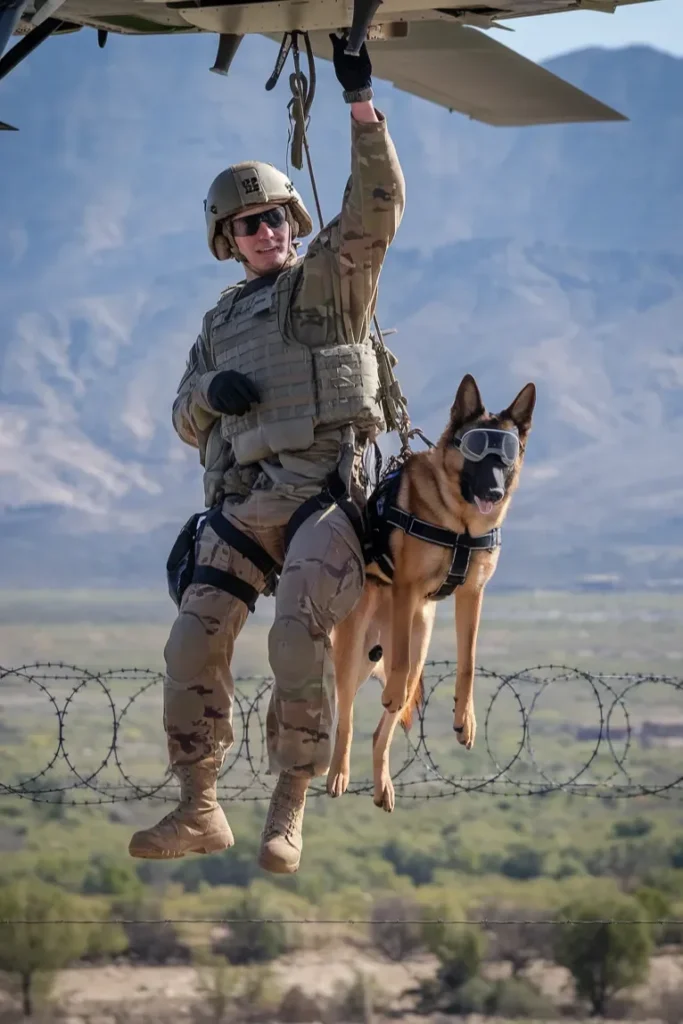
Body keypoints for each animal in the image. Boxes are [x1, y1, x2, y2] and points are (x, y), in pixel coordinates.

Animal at [327, 372, 536, 811]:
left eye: (507, 452)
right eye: (476, 447)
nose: (494, 492)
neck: (460, 522)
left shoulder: (472, 595)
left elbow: (468, 662)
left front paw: (465, 718)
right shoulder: (407, 589)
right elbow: (400, 668)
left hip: (415, 642)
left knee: (381, 730)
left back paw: (383, 784)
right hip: (354, 653)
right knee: (346, 716)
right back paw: (338, 772)